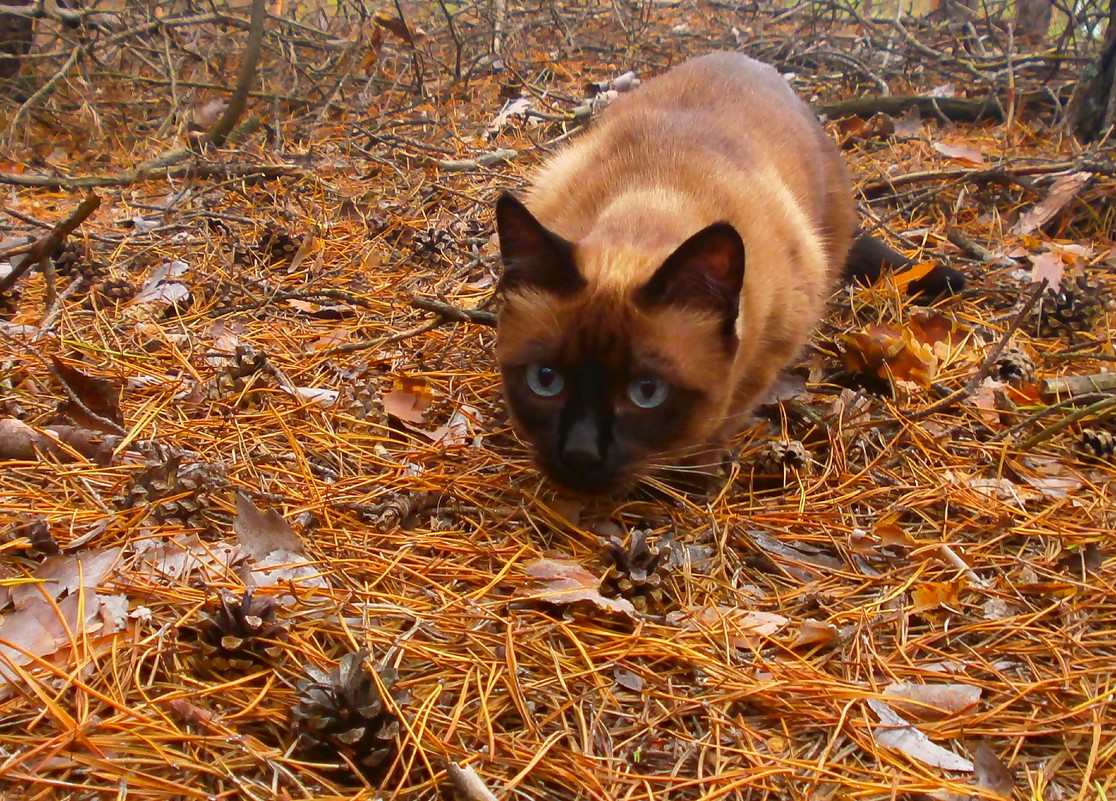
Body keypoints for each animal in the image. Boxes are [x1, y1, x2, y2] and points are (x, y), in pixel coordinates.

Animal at [495, 51, 959, 495]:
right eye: (544, 380)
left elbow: (722, 420)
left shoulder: (772, 348)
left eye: (647, 392)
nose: (579, 455)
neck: (655, 197)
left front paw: (691, 480)